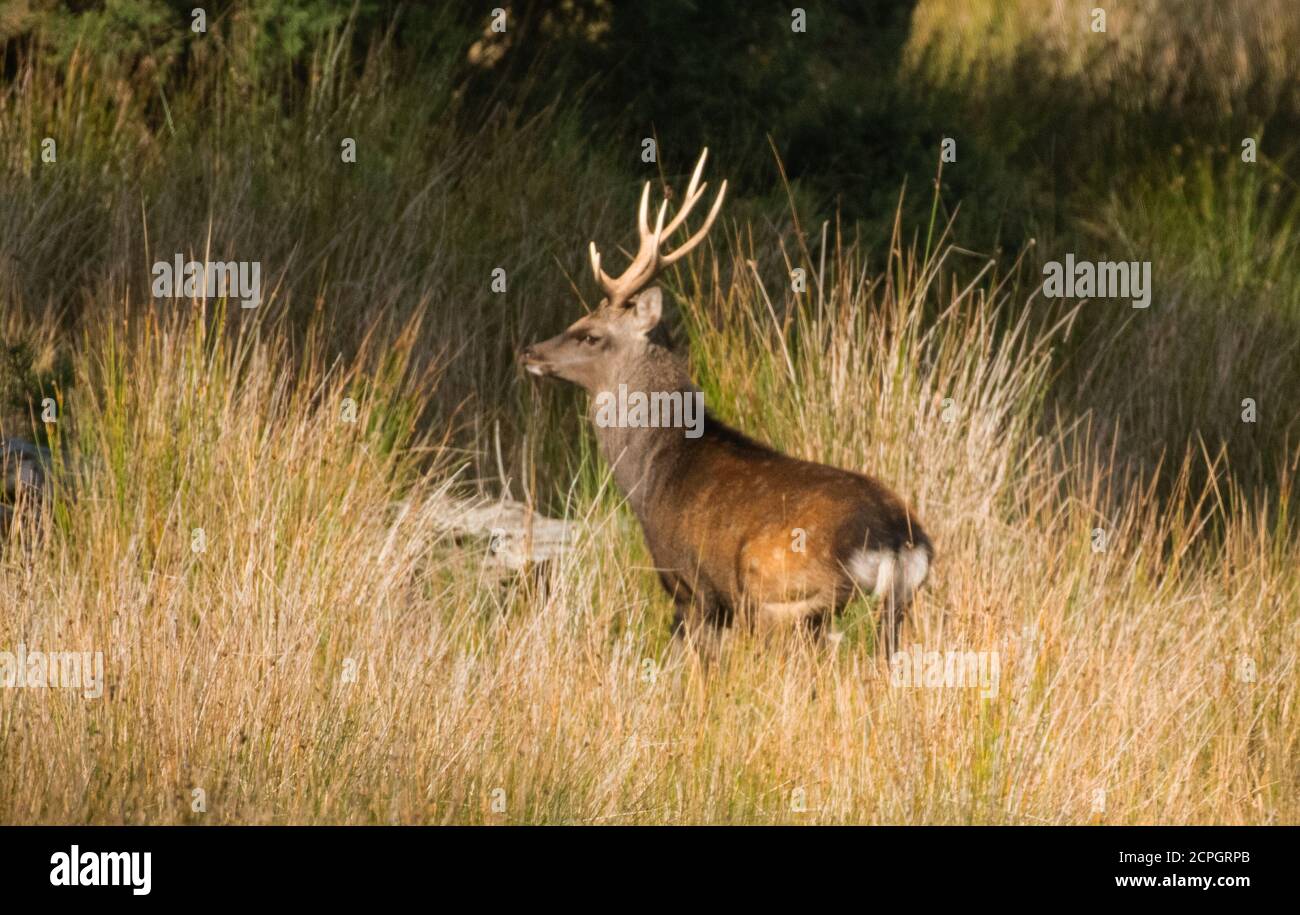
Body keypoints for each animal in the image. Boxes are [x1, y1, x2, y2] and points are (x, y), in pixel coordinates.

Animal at [520, 149, 931, 653]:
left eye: (590, 334)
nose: (530, 352)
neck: (655, 471)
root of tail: (896, 537)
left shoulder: (691, 586)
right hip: (893, 604)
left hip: (778, 593)